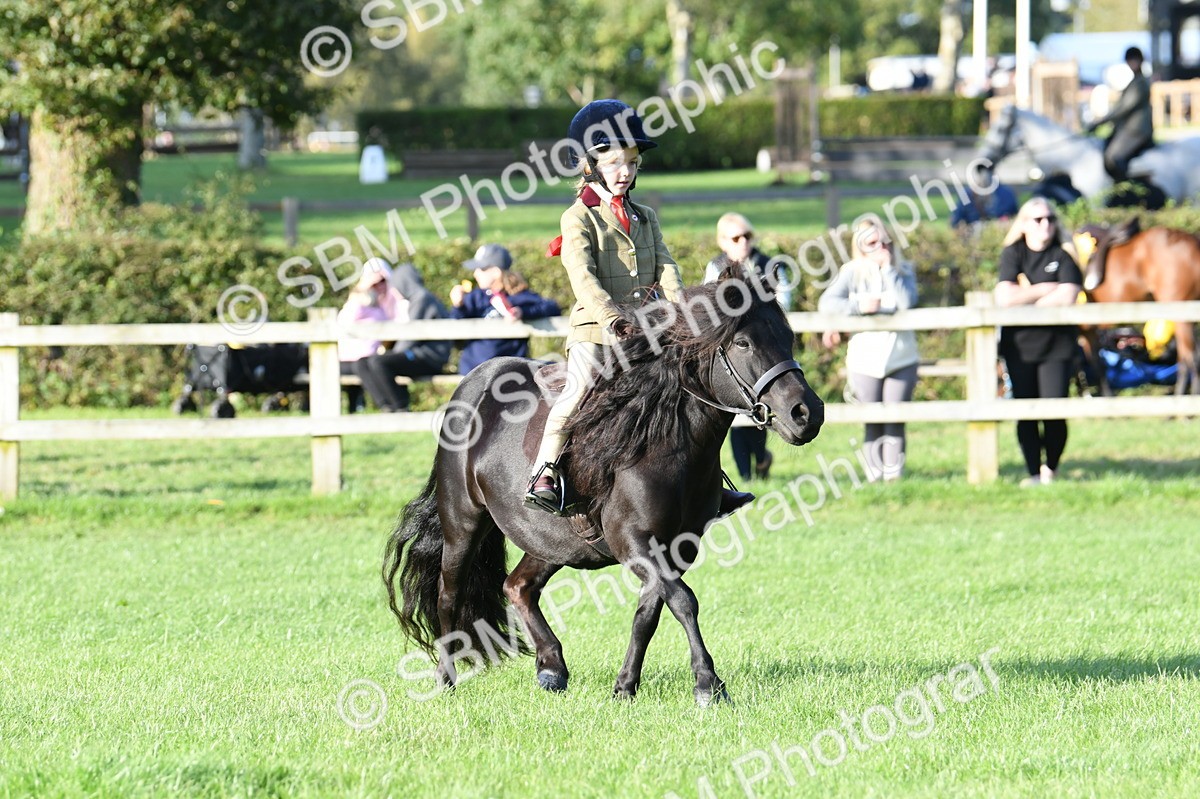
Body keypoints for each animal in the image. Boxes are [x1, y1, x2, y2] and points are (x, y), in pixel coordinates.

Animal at [383, 272, 824, 706]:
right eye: (743, 342)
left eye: (788, 337)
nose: (807, 414)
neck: (665, 439)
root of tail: (474, 381)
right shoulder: (634, 542)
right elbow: (684, 601)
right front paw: (707, 684)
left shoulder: (676, 546)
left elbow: (650, 612)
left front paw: (625, 686)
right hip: (463, 522)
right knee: (449, 594)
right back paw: (445, 681)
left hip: (549, 540)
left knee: (519, 586)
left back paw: (551, 668)